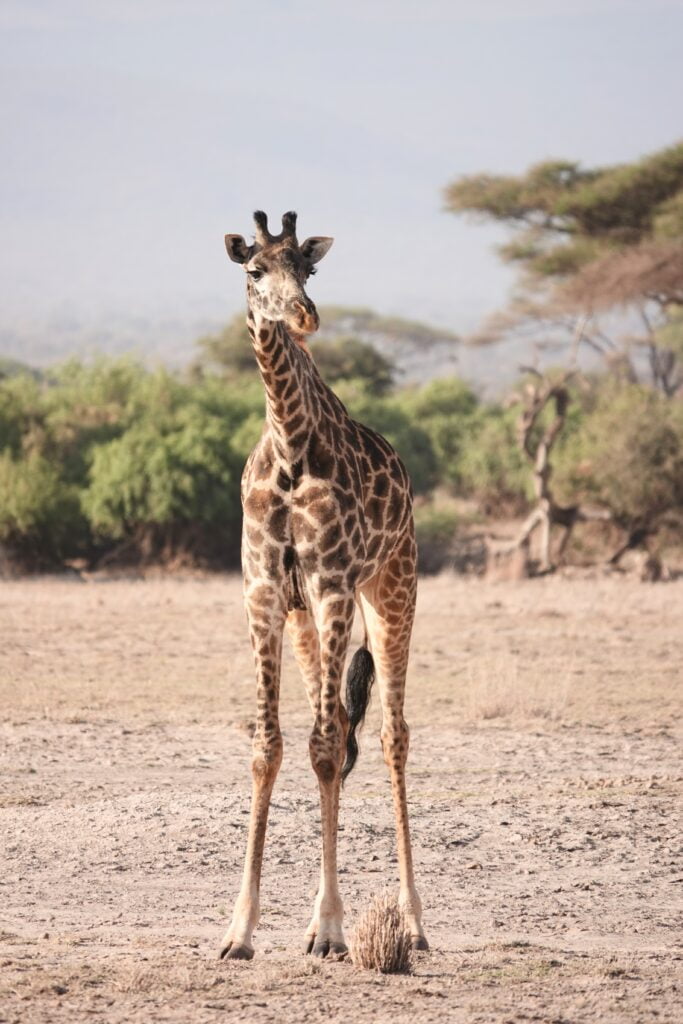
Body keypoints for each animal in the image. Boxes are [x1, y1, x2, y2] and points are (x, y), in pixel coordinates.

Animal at [219, 207, 428, 958]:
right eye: (255, 269)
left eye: (307, 268)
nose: (305, 315)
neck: (287, 446)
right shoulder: (262, 592)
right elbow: (271, 746)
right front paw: (239, 929)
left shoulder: (336, 583)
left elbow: (327, 745)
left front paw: (331, 927)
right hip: (306, 616)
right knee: (331, 727)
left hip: (394, 585)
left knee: (388, 735)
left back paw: (414, 924)